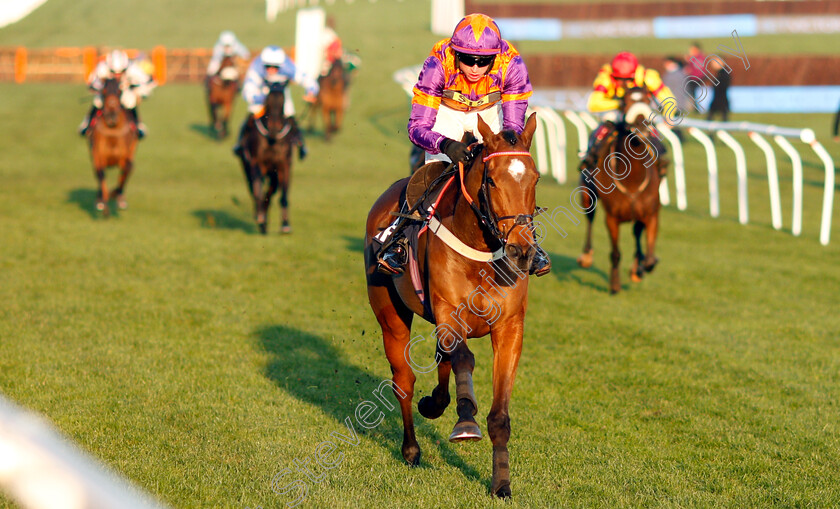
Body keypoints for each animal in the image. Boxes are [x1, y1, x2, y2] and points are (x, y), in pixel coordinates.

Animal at [87, 76, 138, 215]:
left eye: (119, 91)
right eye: (104, 91)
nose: (111, 115)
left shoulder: (125, 157)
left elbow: (127, 170)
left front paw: (117, 196)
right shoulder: (98, 156)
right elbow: (101, 175)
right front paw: (102, 203)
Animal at [240, 81, 296, 234]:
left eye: (282, 101)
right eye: (268, 101)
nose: (274, 129)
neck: (272, 140)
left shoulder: (284, 166)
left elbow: (283, 195)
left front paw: (285, 224)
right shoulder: (257, 164)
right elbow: (258, 190)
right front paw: (260, 217)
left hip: (273, 174)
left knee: (270, 192)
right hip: (247, 167)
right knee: (254, 190)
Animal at [366, 112, 540, 496]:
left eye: (535, 178)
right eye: (491, 180)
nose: (522, 251)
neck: (481, 249)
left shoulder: (510, 328)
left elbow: (500, 415)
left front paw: (501, 484)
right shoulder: (449, 314)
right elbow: (464, 358)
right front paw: (465, 422)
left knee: (439, 364)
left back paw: (435, 403)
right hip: (389, 313)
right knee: (404, 380)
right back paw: (412, 448)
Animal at [576, 87, 664, 294]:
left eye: (648, 100)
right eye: (624, 102)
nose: (641, 123)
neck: (632, 180)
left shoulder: (651, 213)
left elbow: (649, 258)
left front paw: (640, 267)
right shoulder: (612, 219)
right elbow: (615, 253)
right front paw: (615, 284)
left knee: (636, 233)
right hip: (587, 194)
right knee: (590, 218)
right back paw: (586, 256)